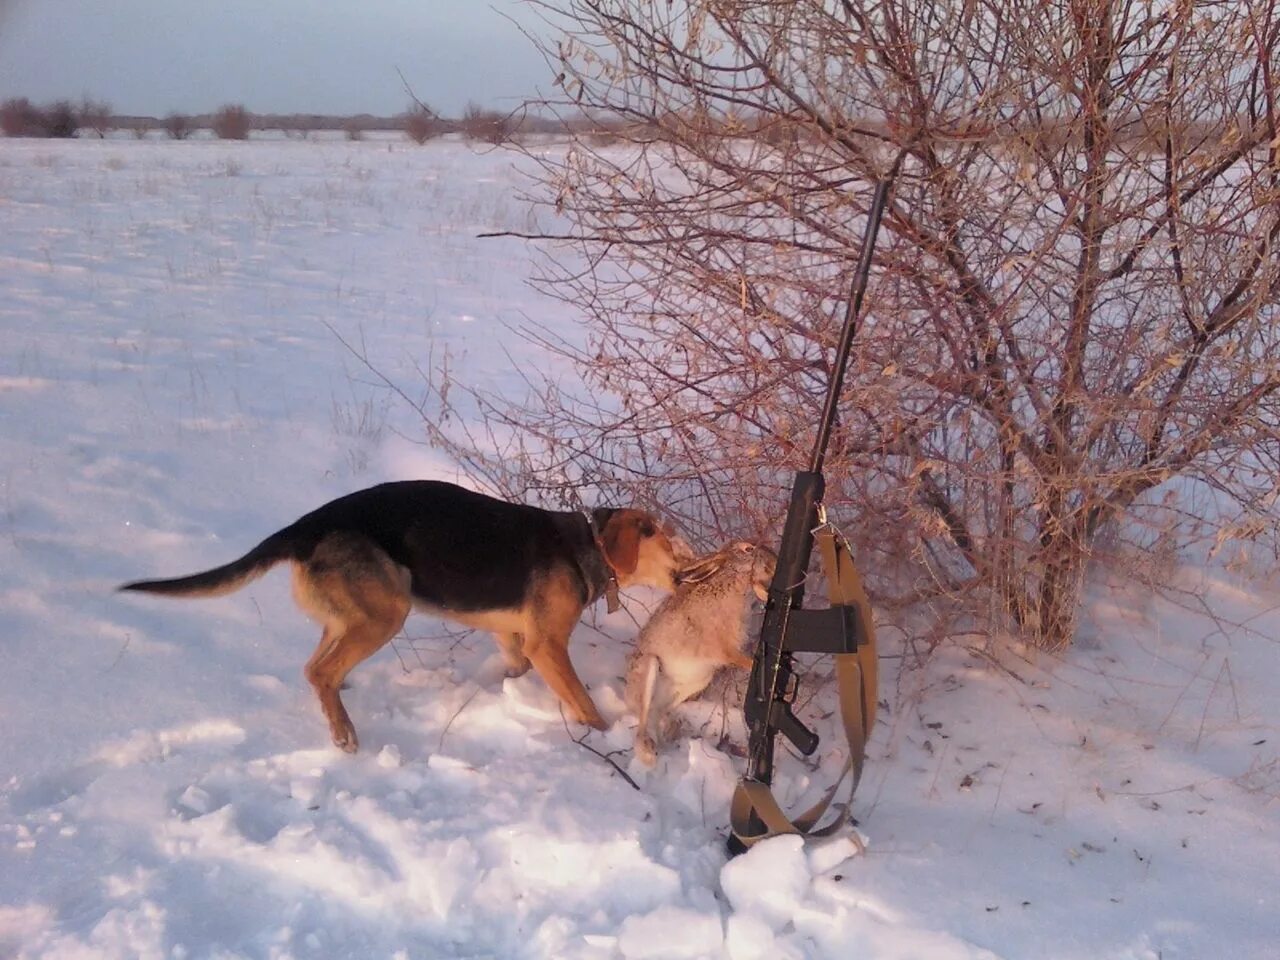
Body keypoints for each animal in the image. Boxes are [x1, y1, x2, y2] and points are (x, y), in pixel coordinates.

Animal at [122, 481, 691, 752]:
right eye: (671, 541)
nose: (694, 567)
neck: (587, 544)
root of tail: (303, 528)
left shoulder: (515, 638)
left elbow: (517, 667)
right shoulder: (548, 644)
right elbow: (583, 703)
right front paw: (604, 734)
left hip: (351, 614)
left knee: (319, 664)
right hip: (387, 611)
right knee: (318, 670)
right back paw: (344, 734)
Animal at [622, 542, 773, 768]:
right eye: (748, 549)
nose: (773, 560)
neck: (729, 579)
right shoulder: (724, 646)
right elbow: (740, 658)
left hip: (698, 681)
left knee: (656, 714)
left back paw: (667, 737)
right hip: (649, 667)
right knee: (643, 717)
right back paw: (648, 753)